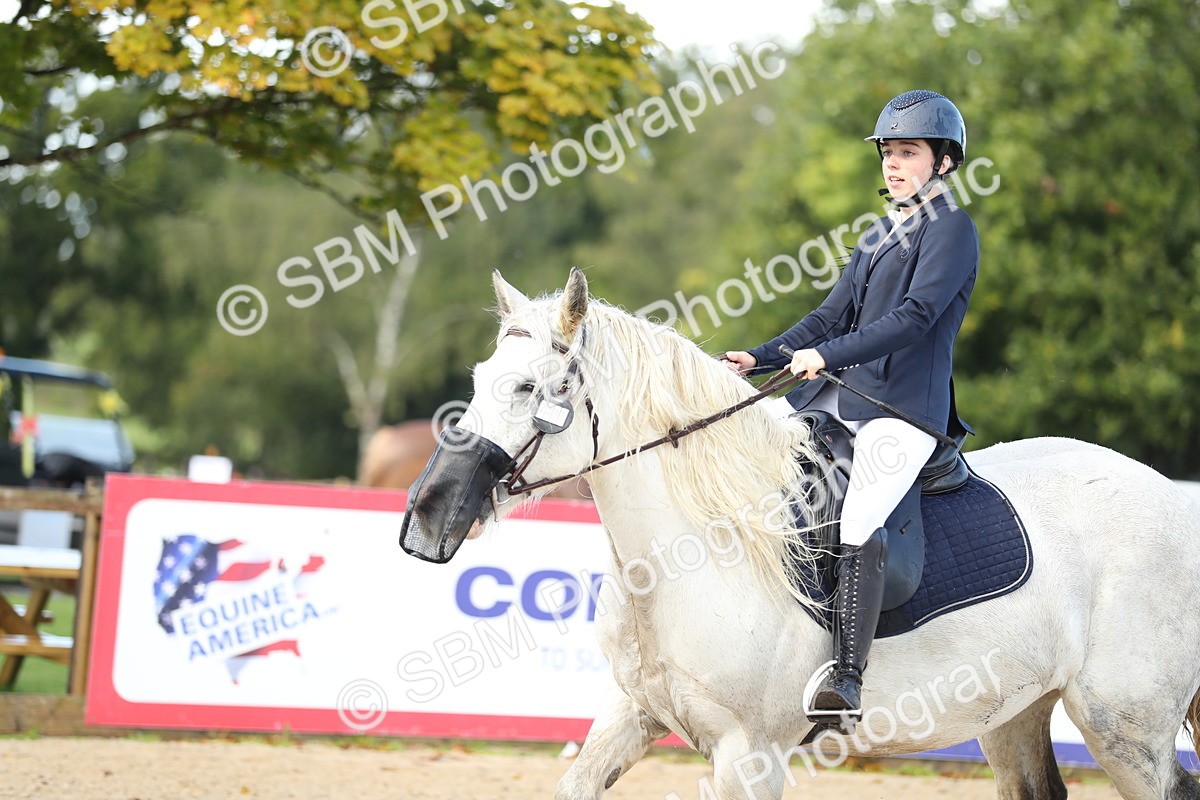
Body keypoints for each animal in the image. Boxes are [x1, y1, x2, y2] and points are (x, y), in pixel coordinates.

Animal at [400, 267, 1200, 799]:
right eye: (480, 375)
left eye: (528, 388)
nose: (425, 520)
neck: (690, 553)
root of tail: (1173, 499)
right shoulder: (634, 713)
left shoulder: (748, 755)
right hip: (1018, 712)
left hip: (1125, 727)